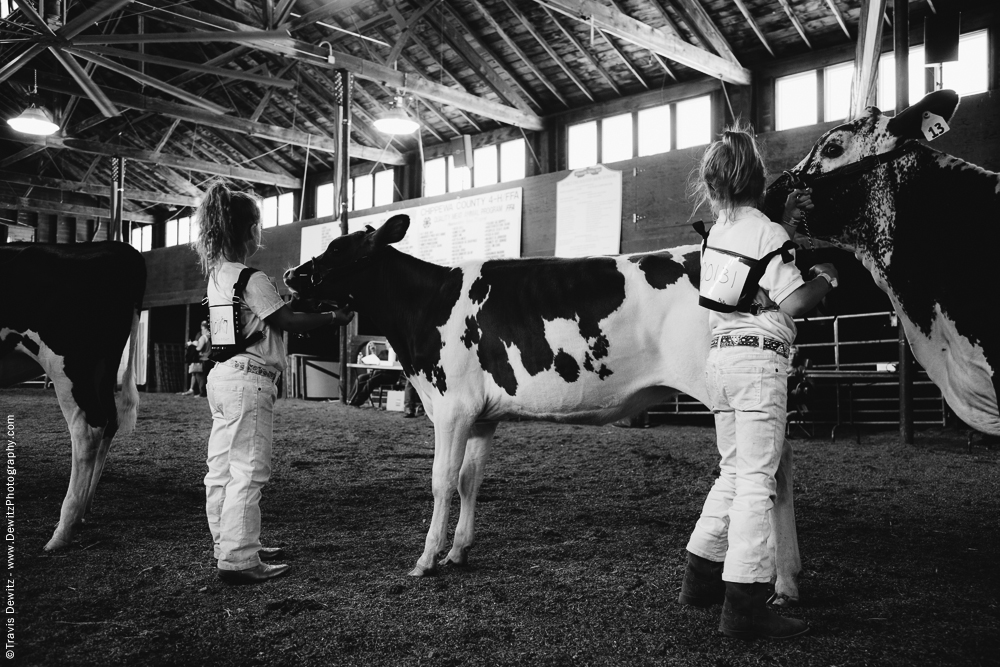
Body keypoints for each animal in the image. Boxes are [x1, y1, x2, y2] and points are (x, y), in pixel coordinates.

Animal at [0, 243, 145, 552]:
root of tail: (122, 248)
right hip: (103, 366)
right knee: (109, 421)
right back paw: (83, 510)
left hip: (67, 364)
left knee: (87, 430)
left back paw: (63, 529)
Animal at [284, 217, 804, 604]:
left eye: (337, 248)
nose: (291, 274)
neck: (425, 308)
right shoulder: (482, 416)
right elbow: (469, 480)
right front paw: (458, 552)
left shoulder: (452, 407)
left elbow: (441, 482)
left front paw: (426, 560)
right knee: (781, 472)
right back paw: (787, 579)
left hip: (731, 394)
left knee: (772, 475)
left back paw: (781, 581)